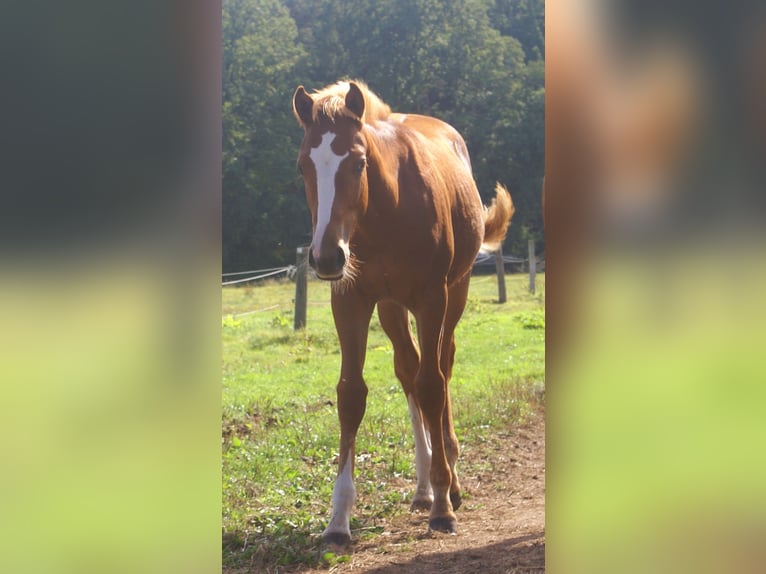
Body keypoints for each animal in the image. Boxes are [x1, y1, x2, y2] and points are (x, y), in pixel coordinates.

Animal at [292, 80, 514, 546]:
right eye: (304, 166)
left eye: (358, 162)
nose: (326, 257)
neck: (387, 211)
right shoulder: (351, 300)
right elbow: (351, 394)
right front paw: (338, 520)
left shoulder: (432, 298)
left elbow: (433, 385)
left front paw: (444, 507)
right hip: (392, 308)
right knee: (409, 369)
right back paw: (424, 487)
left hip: (455, 293)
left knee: (441, 367)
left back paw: (449, 482)